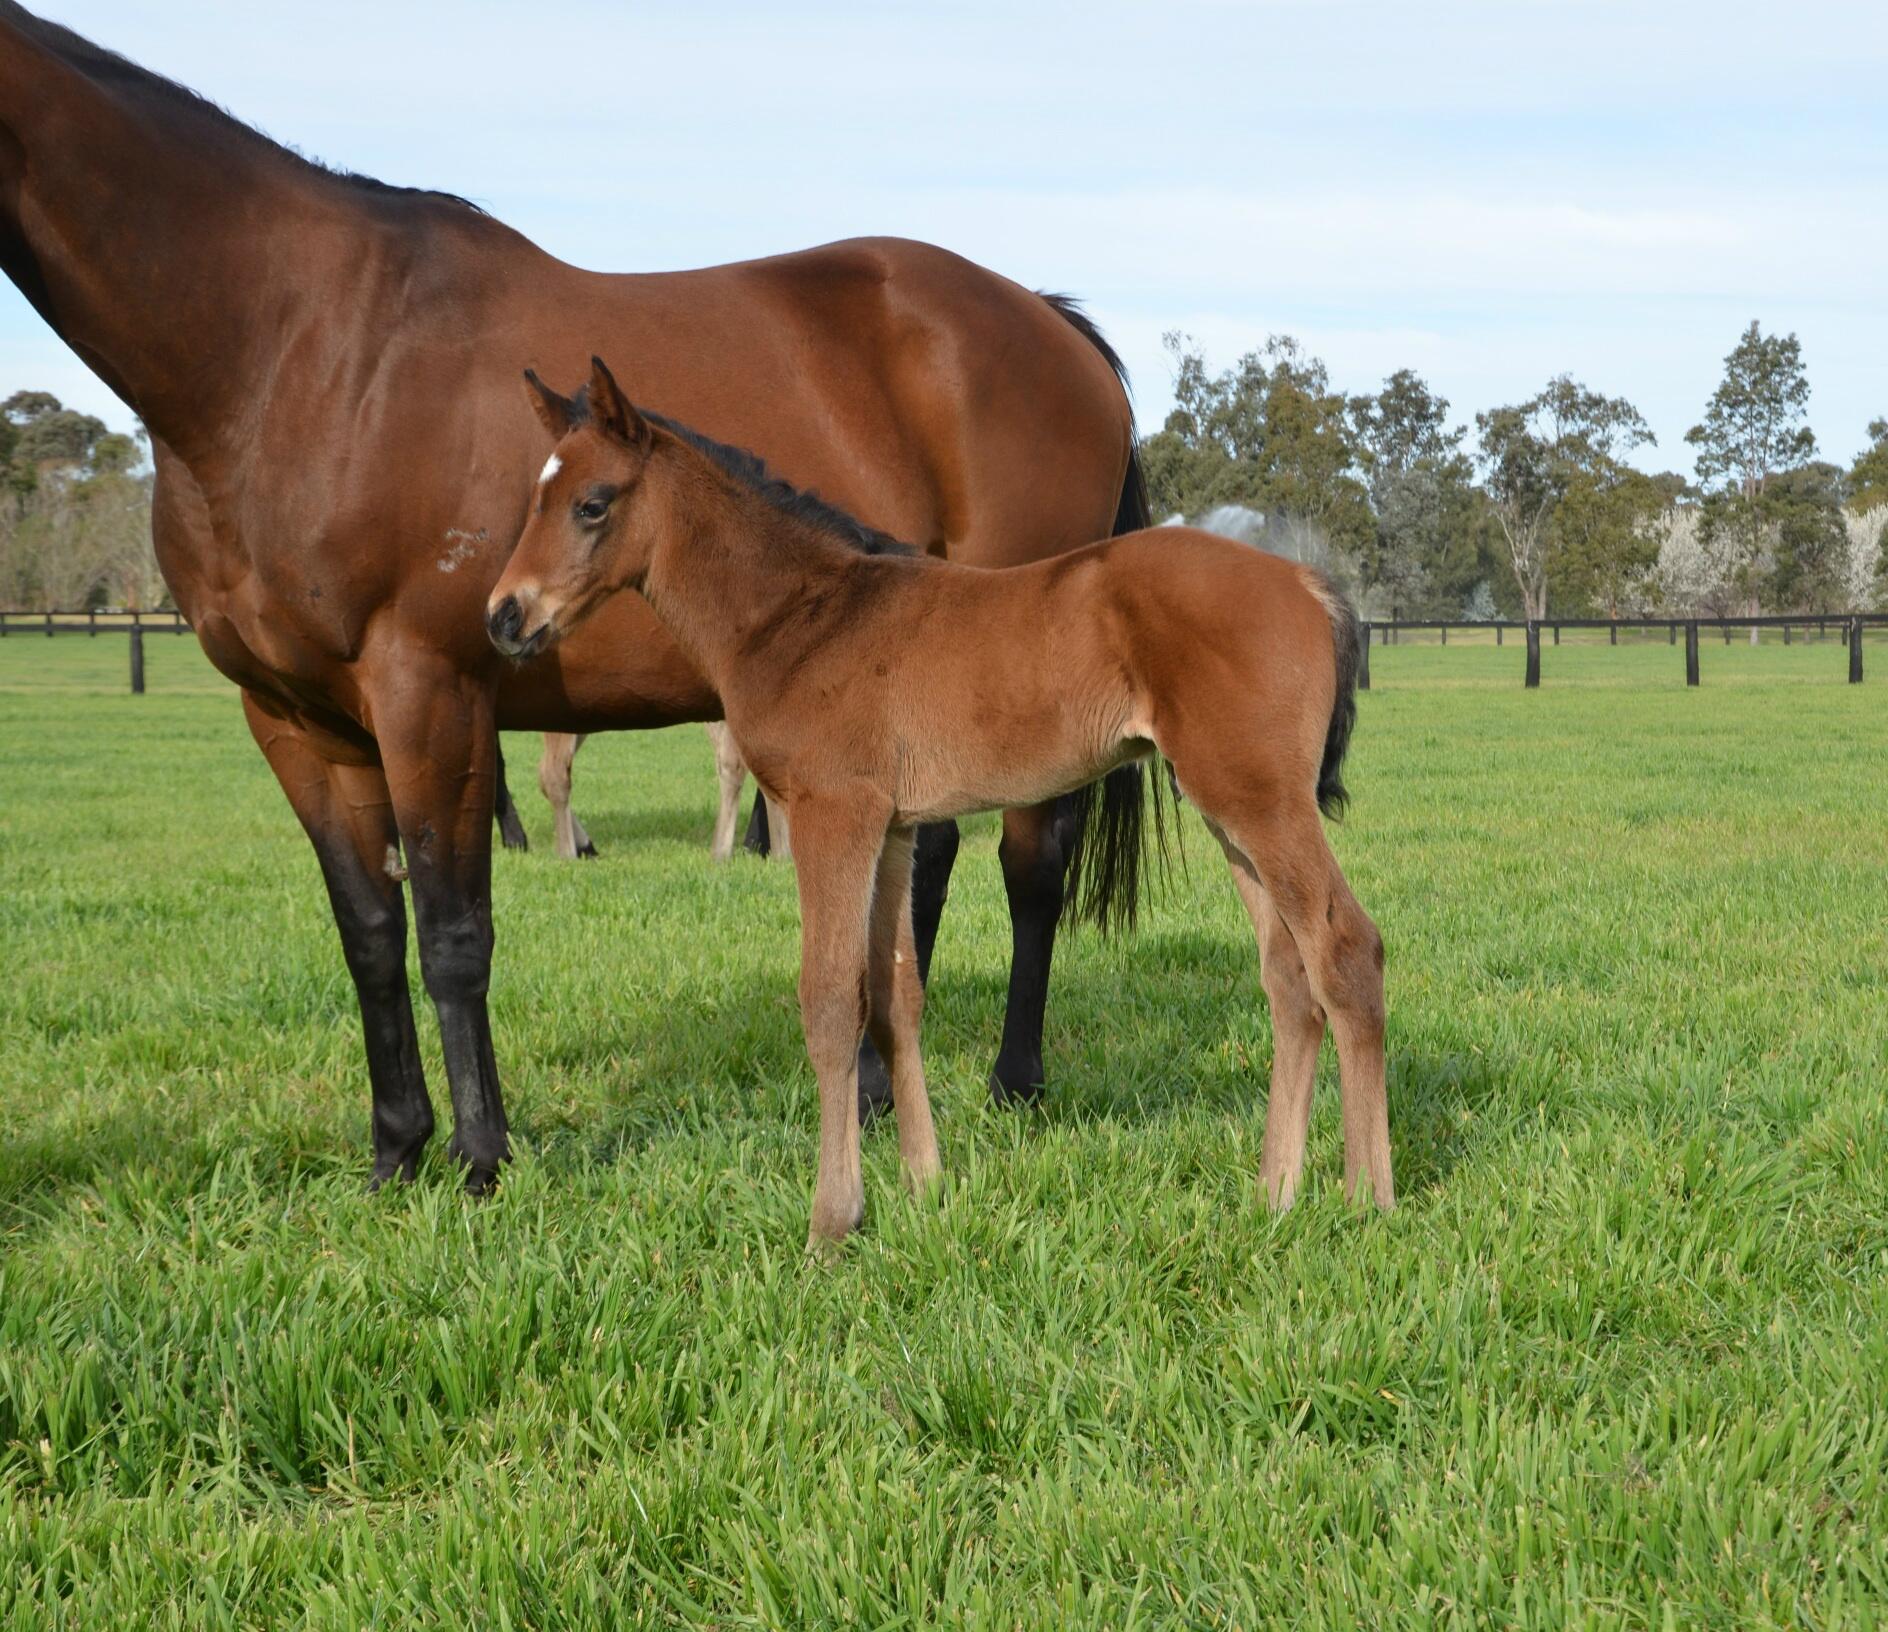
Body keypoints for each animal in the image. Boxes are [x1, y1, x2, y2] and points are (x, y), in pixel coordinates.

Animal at [0, 2, 1146, 1191]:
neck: (302, 349)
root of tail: (1052, 324)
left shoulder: (432, 693)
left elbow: (453, 934)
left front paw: (480, 1160)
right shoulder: (293, 717)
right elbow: (369, 931)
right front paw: (394, 1154)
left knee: (1030, 863)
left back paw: (1012, 1083)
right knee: (922, 861)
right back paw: (876, 1093)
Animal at [489, 360, 1391, 1247]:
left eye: (592, 503)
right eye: (532, 497)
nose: (504, 616)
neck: (806, 614)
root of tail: (1309, 582)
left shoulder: (833, 815)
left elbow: (832, 999)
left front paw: (833, 1222)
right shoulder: (892, 830)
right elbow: (898, 997)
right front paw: (925, 1190)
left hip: (1261, 802)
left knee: (1347, 951)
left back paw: (1366, 1200)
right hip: (1230, 809)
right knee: (1289, 978)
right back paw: (1275, 1194)